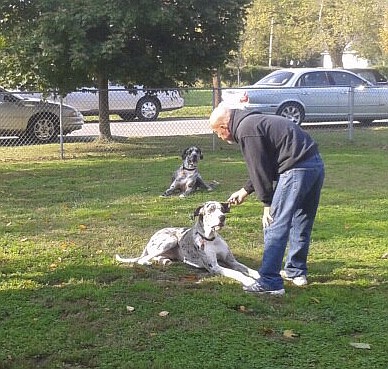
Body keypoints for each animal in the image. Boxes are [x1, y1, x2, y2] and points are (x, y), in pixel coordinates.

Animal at [116, 201, 260, 284]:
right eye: (211, 210)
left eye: (222, 210)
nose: (222, 217)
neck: (211, 238)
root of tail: (151, 237)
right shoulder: (214, 267)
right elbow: (237, 273)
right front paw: (248, 281)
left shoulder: (231, 261)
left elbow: (247, 269)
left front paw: (258, 275)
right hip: (171, 240)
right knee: (143, 259)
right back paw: (148, 262)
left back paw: (164, 261)